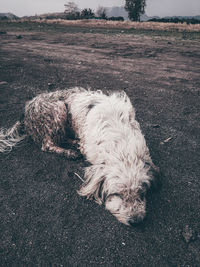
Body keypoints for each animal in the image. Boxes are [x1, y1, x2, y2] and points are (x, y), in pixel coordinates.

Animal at [0, 88, 159, 226]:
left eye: (141, 193)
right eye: (117, 194)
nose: (136, 221)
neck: (120, 143)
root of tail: (25, 111)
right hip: (59, 109)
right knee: (48, 144)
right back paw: (70, 152)